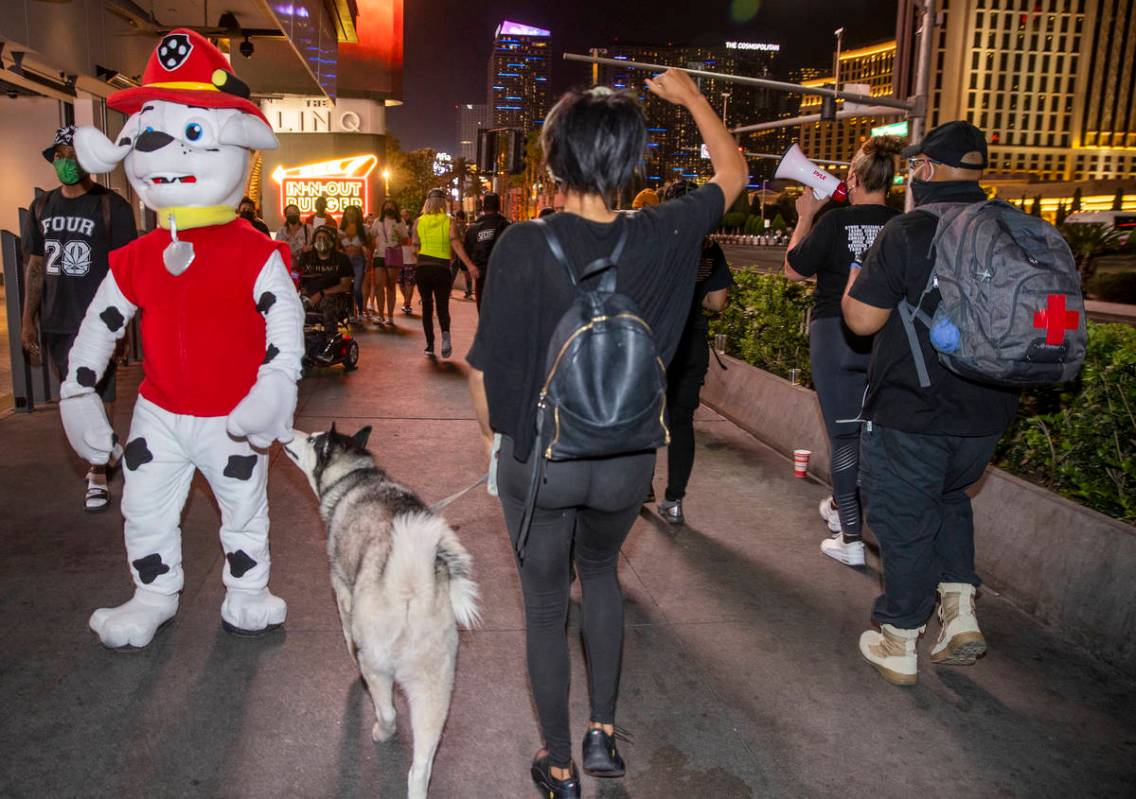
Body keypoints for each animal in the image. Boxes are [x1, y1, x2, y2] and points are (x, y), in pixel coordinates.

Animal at [286, 425, 481, 799]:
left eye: (313, 439)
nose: (288, 433)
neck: (356, 476)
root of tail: (409, 588)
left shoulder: (341, 590)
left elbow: (346, 629)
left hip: (378, 665)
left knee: (388, 709)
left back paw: (381, 730)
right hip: (435, 687)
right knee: (420, 766)